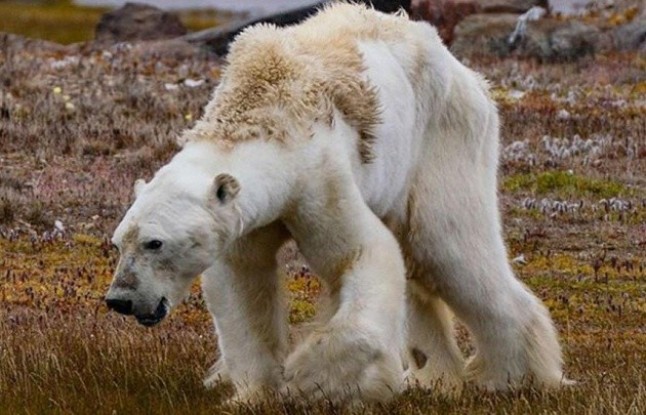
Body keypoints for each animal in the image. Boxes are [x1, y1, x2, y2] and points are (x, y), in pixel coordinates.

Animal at [105, 2, 568, 404]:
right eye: (118, 241)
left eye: (155, 242)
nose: (120, 299)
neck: (263, 112)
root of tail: (468, 75)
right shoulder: (244, 219)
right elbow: (241, 284)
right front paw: (252, 393)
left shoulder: (318, 178)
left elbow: (362, 254)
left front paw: (311, 378)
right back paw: (433, 376)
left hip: (443, 139)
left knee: (448, 248)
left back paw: (511, 377)